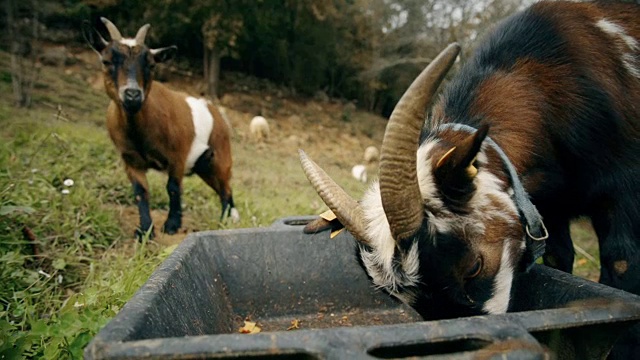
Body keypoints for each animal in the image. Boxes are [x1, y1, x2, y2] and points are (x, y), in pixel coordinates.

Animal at [81, 17, 239, 239]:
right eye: (106, 61)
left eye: (151, 64)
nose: (132, 95)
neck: (140, 132)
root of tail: (216, 111)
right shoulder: (131, 161)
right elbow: (140, 192)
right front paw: (145, 230)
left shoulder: (177, 157)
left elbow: (173, 188)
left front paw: (171, 225)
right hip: (203, 165)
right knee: (223, 188)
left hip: (220, 157)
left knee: (225, 188)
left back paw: (224, 222)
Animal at [300, 0, 640, 320]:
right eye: (405, 300)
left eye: (474, 267)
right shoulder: (553, 215)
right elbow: (559, 257)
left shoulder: (624, 195)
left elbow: (622, 263)